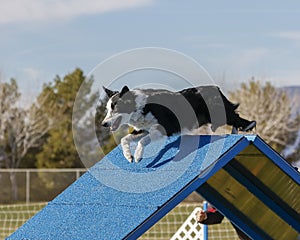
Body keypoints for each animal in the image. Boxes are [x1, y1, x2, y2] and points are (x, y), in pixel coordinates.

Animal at [101, 85, 255, 162]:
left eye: (115, 109)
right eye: (107, 109)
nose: (103, 124)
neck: (142, 107)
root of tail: (216, 88)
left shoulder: (164, 128)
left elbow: (142, 141)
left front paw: (138, 156)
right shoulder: (144, 129)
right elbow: (124, 139)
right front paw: (128, 156)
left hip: (219, 114)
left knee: (237, 117)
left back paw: (246, 127)